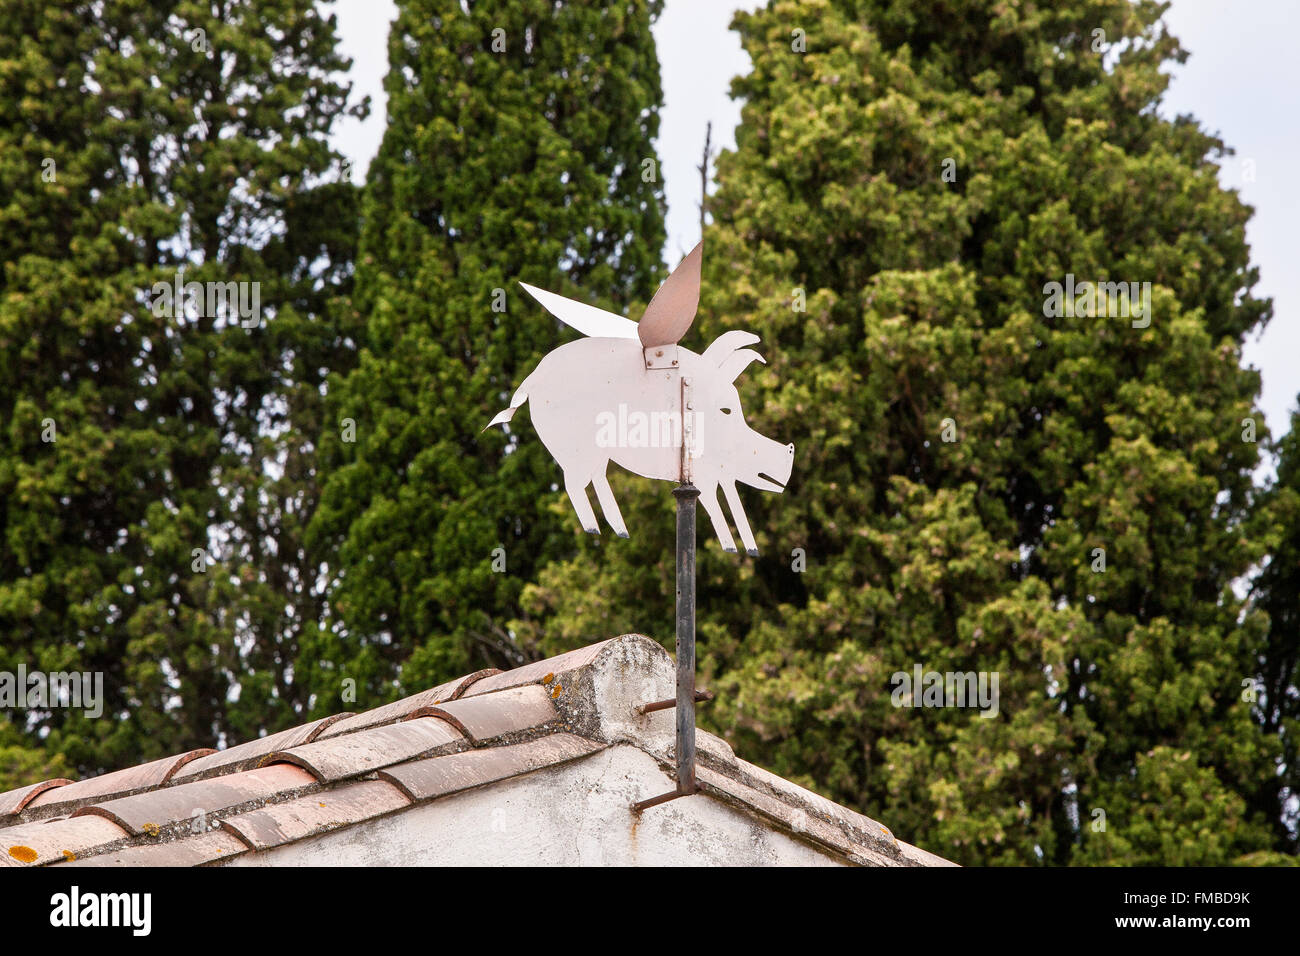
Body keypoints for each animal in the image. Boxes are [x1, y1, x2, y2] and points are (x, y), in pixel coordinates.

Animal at [487, 330, 794, 555]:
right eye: (727, 410)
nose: (790, 450)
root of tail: (530, 381)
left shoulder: (719, 476)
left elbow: (732, 504)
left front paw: (749, 549)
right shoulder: (707, 476)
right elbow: (716, 504)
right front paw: (734, 548)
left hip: (596, 455)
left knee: (595, 480)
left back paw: (619, 529)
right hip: (576, 450)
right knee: (573, 485)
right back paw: (597, 530)